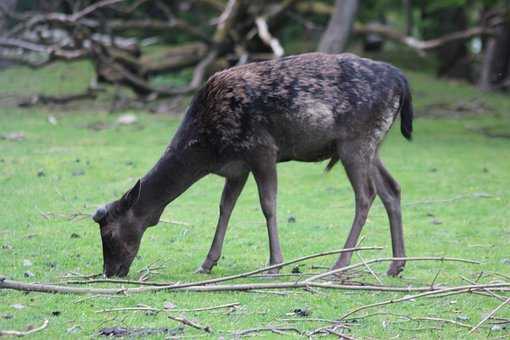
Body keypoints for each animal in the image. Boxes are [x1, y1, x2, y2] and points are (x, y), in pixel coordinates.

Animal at [92, 51, 414, 278]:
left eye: (108, 233)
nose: (110, 271)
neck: (207, 151)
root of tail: (401, 78)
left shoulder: (261, 150)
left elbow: (268, 205)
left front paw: (274, 264)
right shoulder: (237, 168)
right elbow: (225, 208)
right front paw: (207, 263)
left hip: (355, 141)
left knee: (366, 194)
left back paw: (340, 264)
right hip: (372, 144)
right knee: (392, 188)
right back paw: (396, 265)